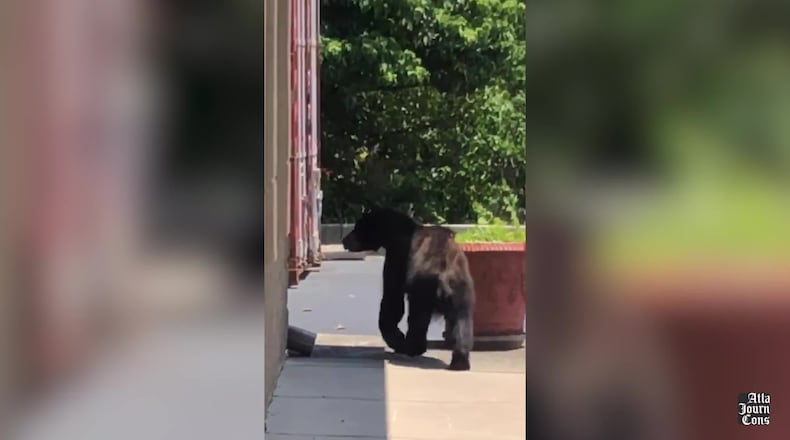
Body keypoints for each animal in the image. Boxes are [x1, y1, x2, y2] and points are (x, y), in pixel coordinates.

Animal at [341, 207, 475, 371]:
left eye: (358, 227)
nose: (344, 240)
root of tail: (445, 269)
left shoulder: (397, 257)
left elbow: (392, 298)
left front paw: (396, 339)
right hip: (461, 287)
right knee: (462, 319)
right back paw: (460, 360)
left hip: (423, 284)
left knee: (418, 315)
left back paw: (413, 347)